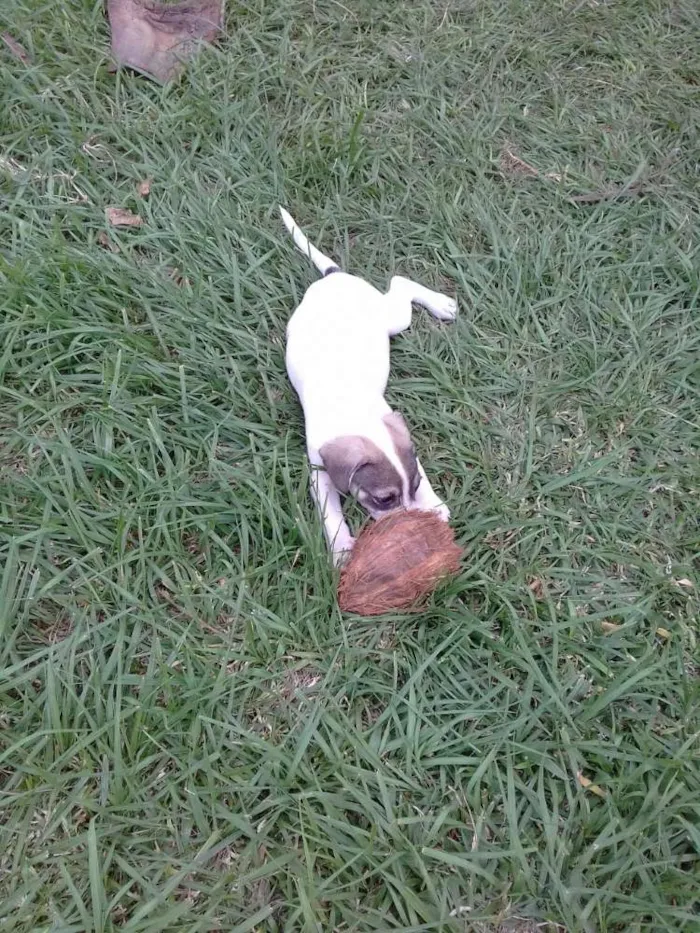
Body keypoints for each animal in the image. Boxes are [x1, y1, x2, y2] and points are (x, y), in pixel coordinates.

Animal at [282, 207, 456, 564]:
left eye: (415, 486)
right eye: (384, 499)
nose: (411, 529)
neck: (350, 408)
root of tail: (334, 278)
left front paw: (434, 504)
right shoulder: (319, 474)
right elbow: (331, 514)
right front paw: (341, 547)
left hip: (393, 319)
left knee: (400, 281)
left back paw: (441, 304)